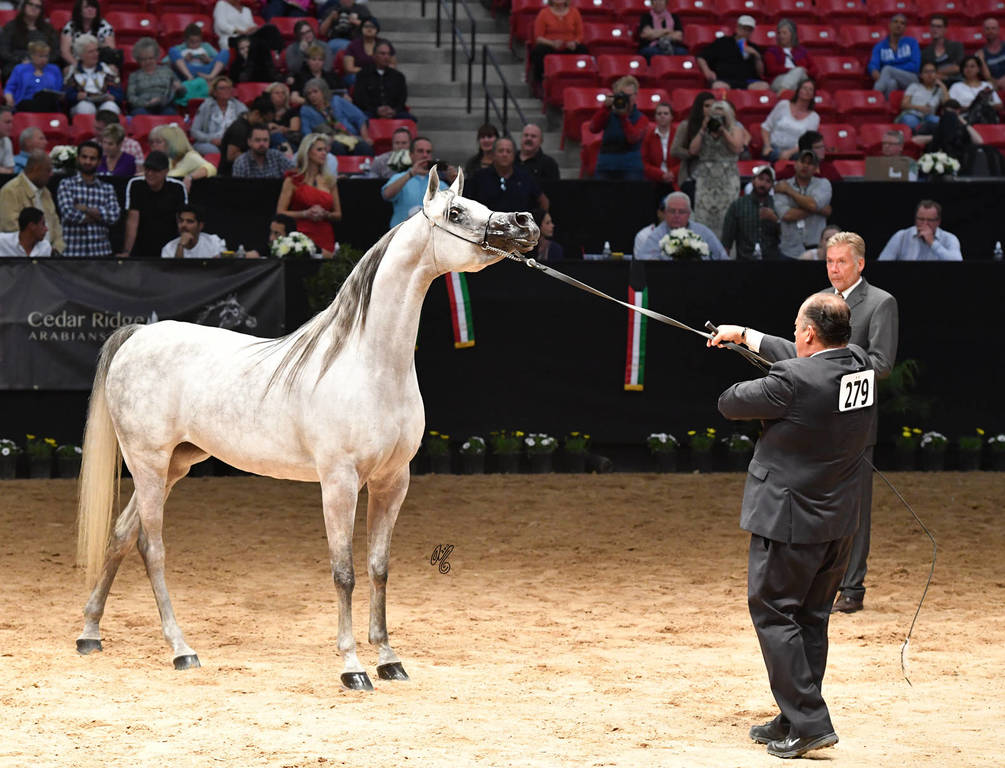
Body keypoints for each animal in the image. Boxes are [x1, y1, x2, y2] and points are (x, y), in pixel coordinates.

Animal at [74, 168, 539, 690]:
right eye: (456, 212)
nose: (524, 222)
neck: (368, 364)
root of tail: (138, 334)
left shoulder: (392, 482)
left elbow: (379, 568)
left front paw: (388, 658)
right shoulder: (339, 483)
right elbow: (344, 572)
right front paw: (353, 667)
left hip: (174, 465)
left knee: (120, 535)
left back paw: (90, 633)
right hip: (148, 463)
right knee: (150, 547)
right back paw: (181, 649)